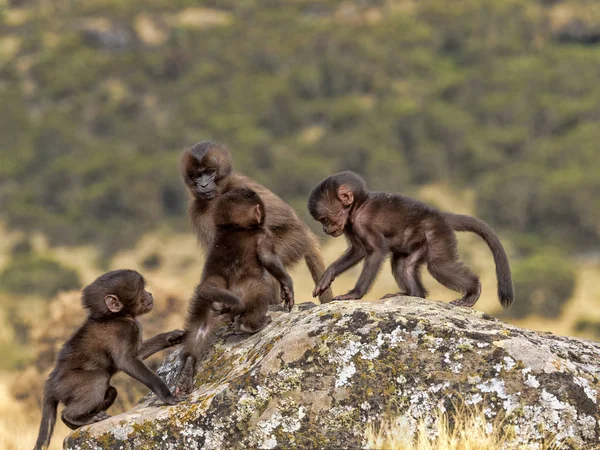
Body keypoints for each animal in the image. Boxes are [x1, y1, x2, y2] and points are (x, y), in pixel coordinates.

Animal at [32, 268, 182, 450]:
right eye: (140, 290)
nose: (150, 294)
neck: (115, 316)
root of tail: (50, 384)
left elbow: (138, 354)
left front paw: (172, 337)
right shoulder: (123, 330)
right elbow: (126, 361)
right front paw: (167, 395)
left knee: (111, 391)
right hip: (66, 385)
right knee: (98, 378)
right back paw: (73, 417)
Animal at [175, 188, 294, 396]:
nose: (262, 215)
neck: (233, 228)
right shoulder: (264, 235)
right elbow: (269, 258)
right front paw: (287, 288)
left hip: (202, 300)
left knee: (199, 330)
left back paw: (187, 370)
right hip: (244, 291)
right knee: (259, 294)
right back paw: (252, 325)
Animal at [180, 139, 336, 304]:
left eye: (209, 172)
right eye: (197, 175)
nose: (203, 185)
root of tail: (308, 237)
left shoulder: (241, 187)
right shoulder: (197, 210)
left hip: (294, 240)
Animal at [308, 171, 512, 308]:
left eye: (325, 220)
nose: (325, 229)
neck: (358, 206)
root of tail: (439, 215)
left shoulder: (361, 223)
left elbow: (376, 250)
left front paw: (354, 294)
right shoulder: (350, 226)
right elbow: (358, 250)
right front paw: (326, 277)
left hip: (436, 234)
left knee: (439, 266)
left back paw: (473, 291)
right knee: (402, 265)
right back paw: (414, 294)